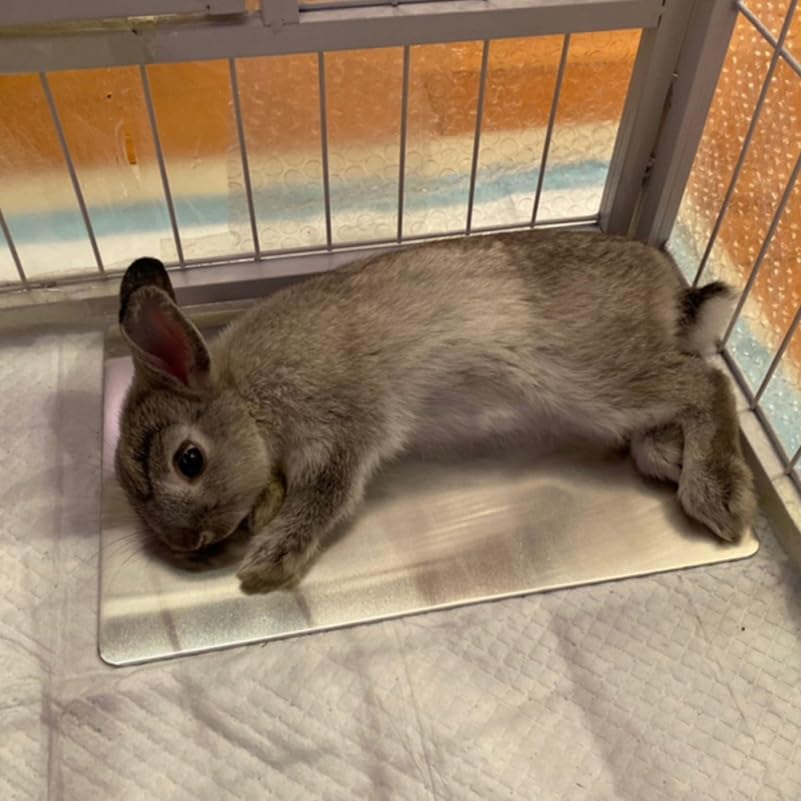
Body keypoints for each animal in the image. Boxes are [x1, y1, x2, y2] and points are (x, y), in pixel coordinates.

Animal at [115, 230, 756, 593]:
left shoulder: (341, 429)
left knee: (706, 383)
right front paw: (262, 514)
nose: (188, 544)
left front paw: (267, 563)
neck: (244, 397)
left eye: (189, 460)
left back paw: (718, 495)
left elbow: (325, 497)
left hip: (591, 376)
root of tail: (668, 288)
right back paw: (669, 455)